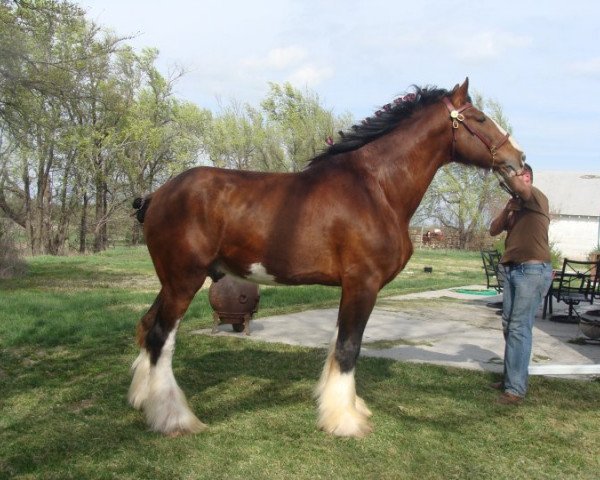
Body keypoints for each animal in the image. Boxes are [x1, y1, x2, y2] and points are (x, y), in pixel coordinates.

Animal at [129, 79, 524, 438]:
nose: (518, 160)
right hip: (184, 280)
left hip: (170, 281)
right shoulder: (363, 284)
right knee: (161, 338)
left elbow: (338, 346)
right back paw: (174, 419)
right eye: (480, 118)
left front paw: (345, 408)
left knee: (148, 326)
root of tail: (158, 195)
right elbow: (349, 348)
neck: (376, 187)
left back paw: (141, 400)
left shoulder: (350, 287)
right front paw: (345, 421)